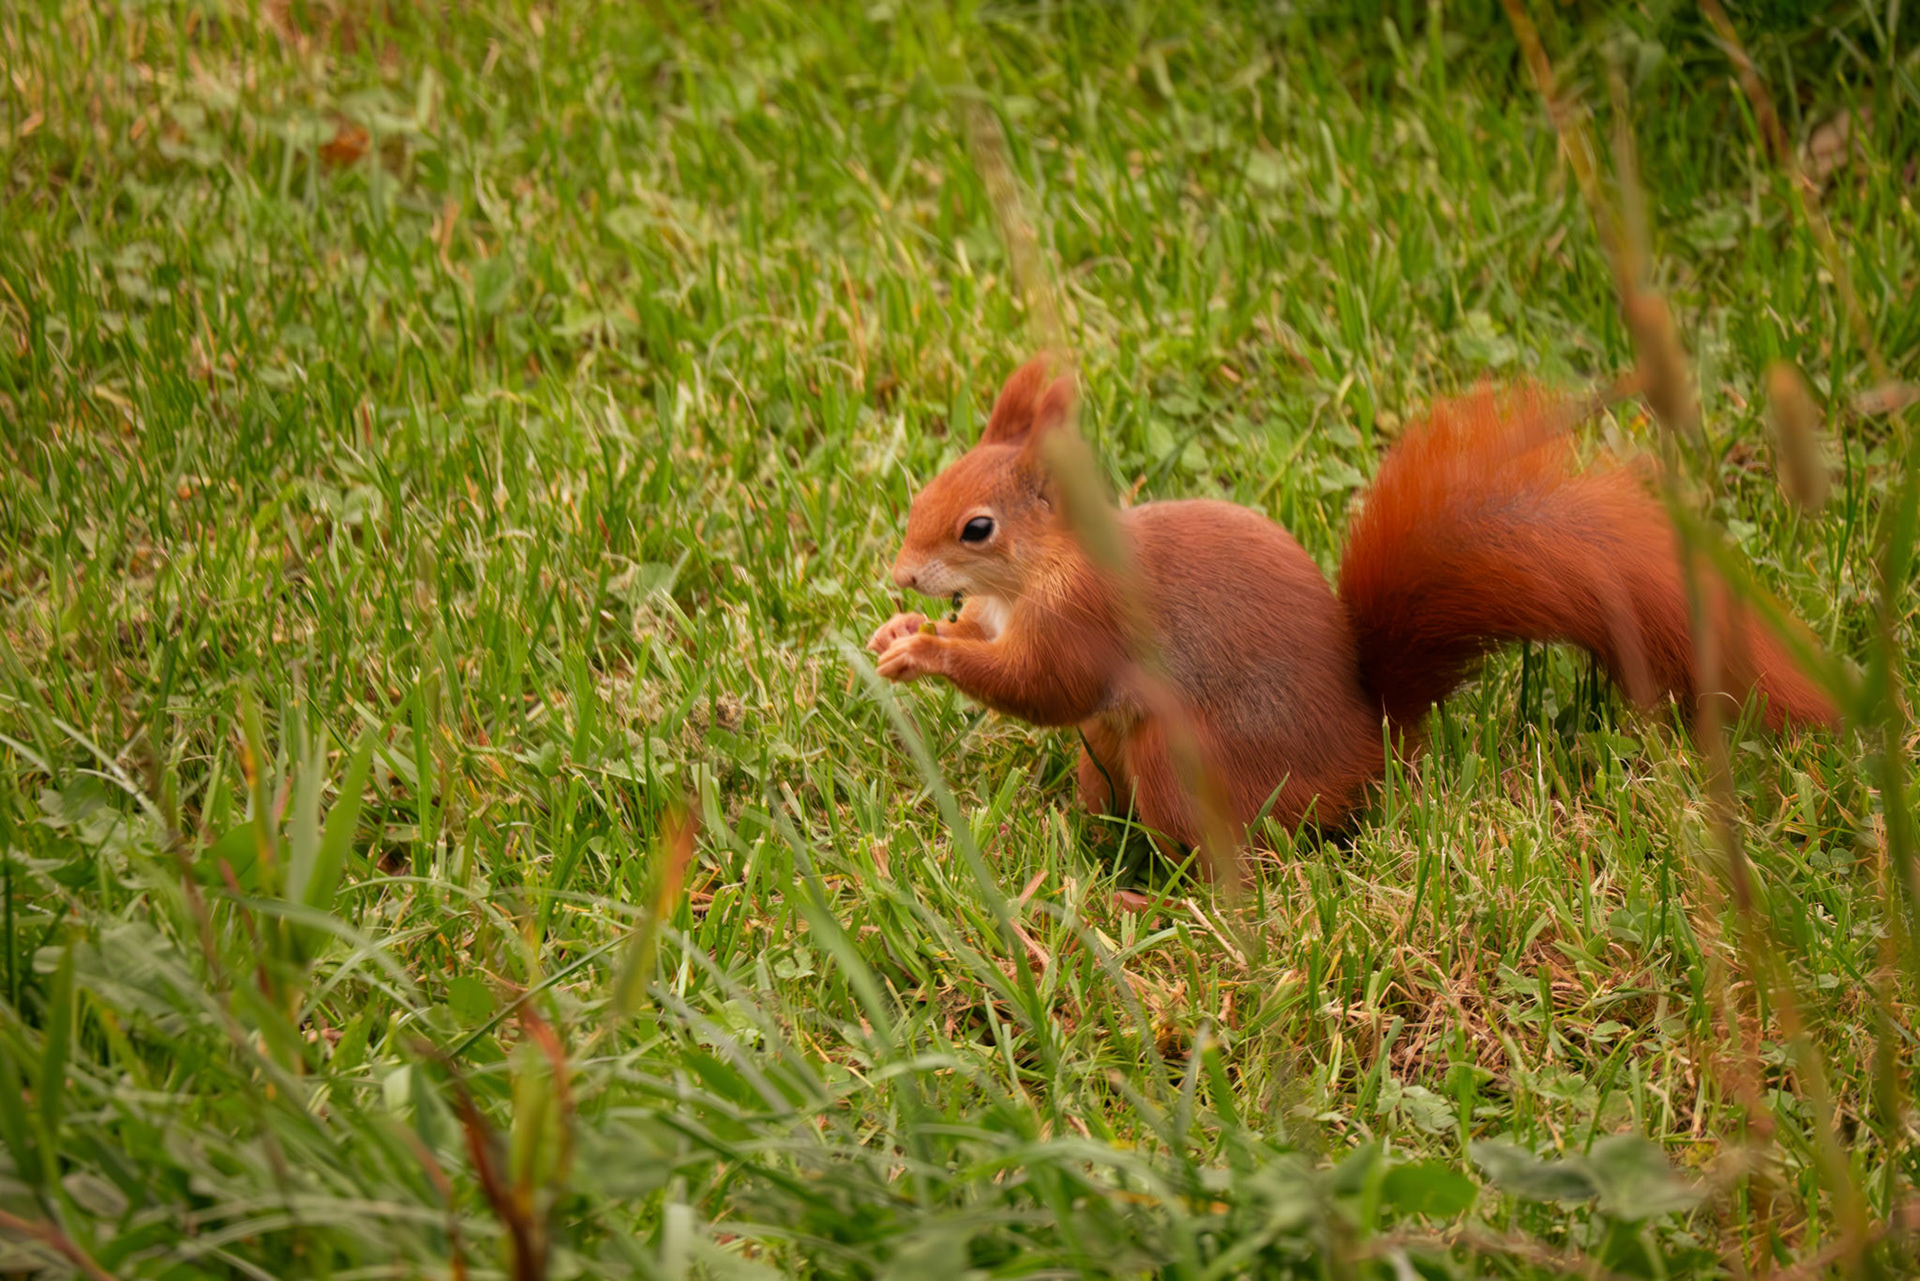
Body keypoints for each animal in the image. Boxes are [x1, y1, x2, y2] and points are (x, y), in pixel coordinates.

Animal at [868, 356, 1838, 848]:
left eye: (977, 527)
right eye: (930, 487)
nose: (901, 575)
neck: (1043, 570)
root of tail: (1369, 749)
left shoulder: (1090, 621)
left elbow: (1045, 688)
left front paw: (926, 651)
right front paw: (905, 630)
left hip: (1184, 759)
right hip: (1108, 757)